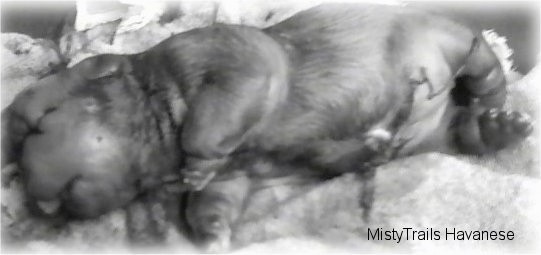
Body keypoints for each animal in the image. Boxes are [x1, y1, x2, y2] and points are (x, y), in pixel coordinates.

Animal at [0, 2, 532, 251]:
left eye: (40, 122)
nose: (41, 205)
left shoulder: (232, 58)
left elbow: (217, 114)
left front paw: (195, 163)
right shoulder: (238, 177)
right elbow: (212, 204)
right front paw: (212, 236)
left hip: (443, 38)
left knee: (479, 54)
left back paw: (492, 94)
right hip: (432, 136)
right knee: (462, 132)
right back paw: (501, 126)